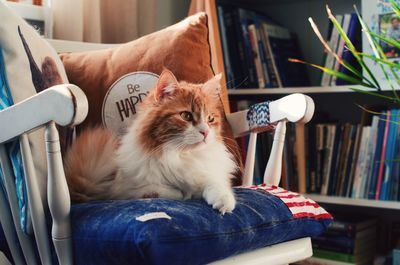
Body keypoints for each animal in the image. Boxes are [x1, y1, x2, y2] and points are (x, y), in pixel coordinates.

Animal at [65, 69, 238, 213]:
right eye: (186, 116)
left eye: (210, 119)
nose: (205, 132)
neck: (179, 155)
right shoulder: (123, 191)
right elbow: (166, 191)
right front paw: (184, 193)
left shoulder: (209, 173)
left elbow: (216, 185)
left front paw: (224, 203)